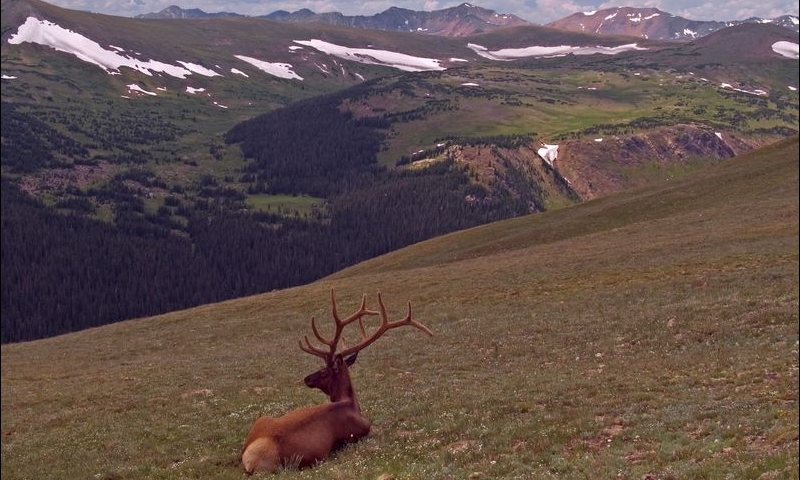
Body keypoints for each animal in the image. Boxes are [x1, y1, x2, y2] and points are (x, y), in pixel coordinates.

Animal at [240, 289, 433, 474]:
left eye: (323, 372)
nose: (306, 378)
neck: (350, 403)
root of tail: (249, 457)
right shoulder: (362, 429)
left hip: (262, 419)